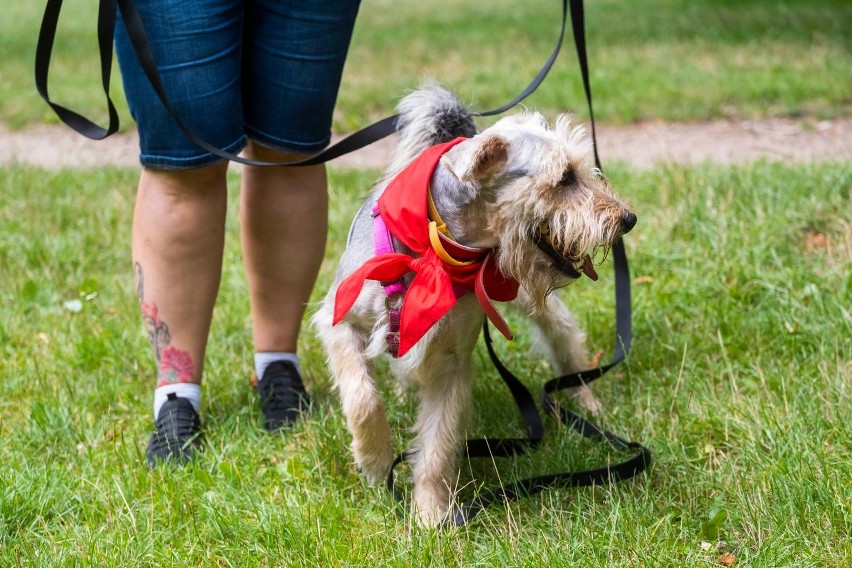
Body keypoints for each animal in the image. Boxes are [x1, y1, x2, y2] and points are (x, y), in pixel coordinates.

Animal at [312, 82, 632, 524]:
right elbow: (362, 399)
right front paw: (374, 459)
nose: (627, 219)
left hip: (532, 299)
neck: (435, 249)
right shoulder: (338, 319)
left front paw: (431, 517)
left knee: (565, 339)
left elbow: (437, 448)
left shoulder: (450, 363)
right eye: (565, 177)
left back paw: (585, 402)